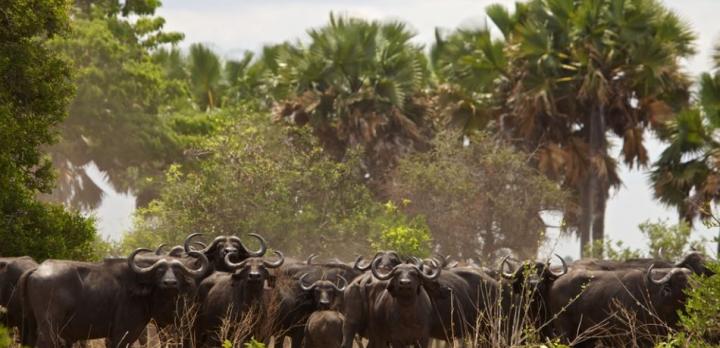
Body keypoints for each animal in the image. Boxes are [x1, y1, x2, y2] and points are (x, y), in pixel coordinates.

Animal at [23, 247, 208, 348]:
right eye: (160, 271)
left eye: (177, 271)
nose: (170, 283)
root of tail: (38, 269)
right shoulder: (123, 333)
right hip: (49, 327)